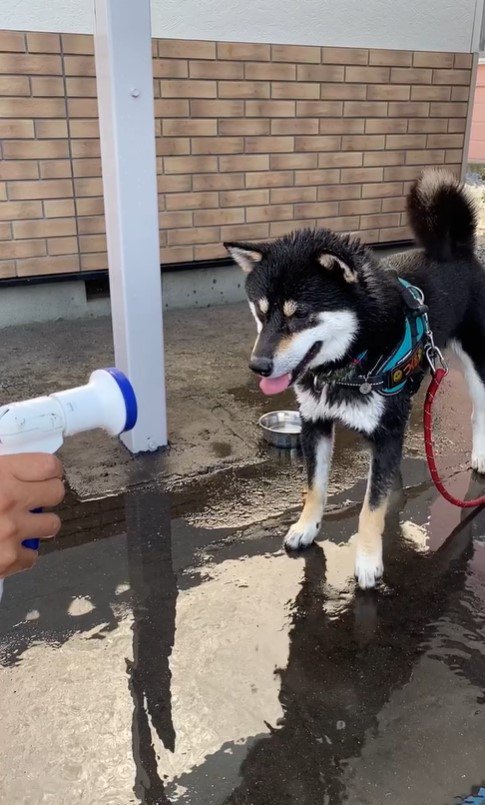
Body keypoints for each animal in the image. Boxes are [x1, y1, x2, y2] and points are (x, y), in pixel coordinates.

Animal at [225, 170, 484, 588]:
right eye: (261, 313)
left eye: (300, 315)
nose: (258, 366)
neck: (349, 362)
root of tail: (457, 249)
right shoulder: (315, 421)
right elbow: (315, 487)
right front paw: (306, 528)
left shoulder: (387, 427)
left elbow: (370, 507)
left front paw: (367, 559)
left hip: (475, 362)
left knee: (477, 410)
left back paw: (478, 455)